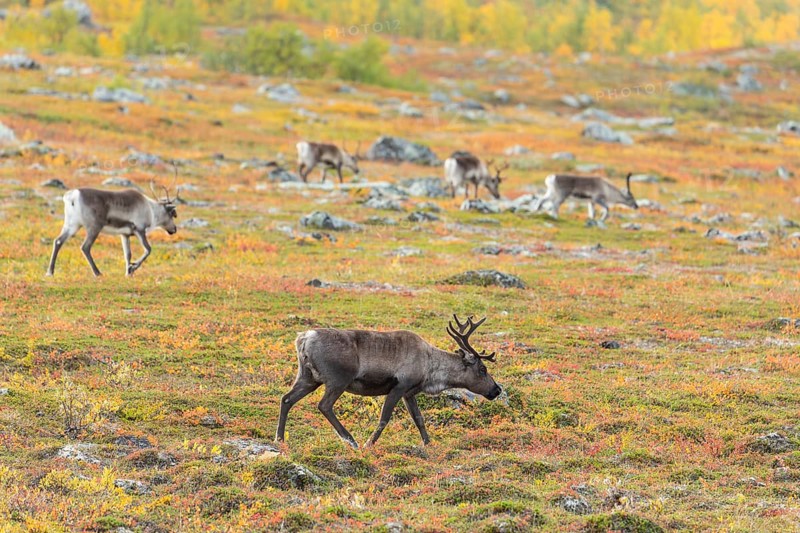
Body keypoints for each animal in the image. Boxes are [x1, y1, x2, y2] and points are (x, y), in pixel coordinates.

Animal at [46, 182, 178, 277]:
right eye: (172, 214)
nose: (174, 229)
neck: (151, 209)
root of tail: (73, 195)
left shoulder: (125, 234)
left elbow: (127, 254)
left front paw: (128, 273)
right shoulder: (139, 229)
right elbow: (148, 249)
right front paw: (133, 267)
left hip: (72, 225)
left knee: (58, 241)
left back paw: (50, 272)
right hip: (94, 227)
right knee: (85, 247)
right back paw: (97, 273)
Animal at [275, 315, 502, 449]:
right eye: (483, 369)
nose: (497, 389)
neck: (430, 367)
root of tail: (304, 338)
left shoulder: (410, 392)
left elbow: (419, 419)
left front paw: (429, 444)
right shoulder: (399, 387)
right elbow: (384, 418)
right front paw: (369, 444)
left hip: (308, 377)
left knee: (286, 399)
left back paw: (280, 439)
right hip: (338, 379)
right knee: (324, 405)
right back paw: (351, 440)